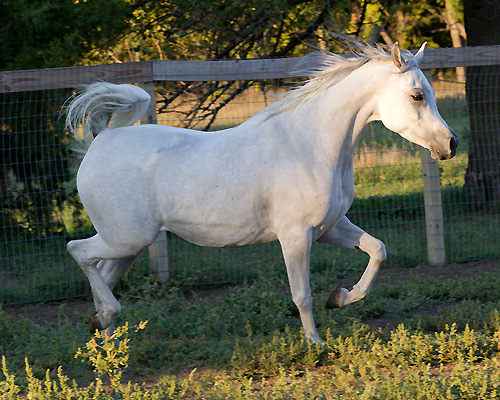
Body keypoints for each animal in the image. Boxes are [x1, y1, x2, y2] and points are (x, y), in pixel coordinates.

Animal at [64, 41, 456, 344]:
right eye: (417, 95)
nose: (450, 144)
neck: (309, 144)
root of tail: (102, 140)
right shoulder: (295, 236)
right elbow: (302, 294)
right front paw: (315, 343)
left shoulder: (330, 228)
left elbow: (377, 251)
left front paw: (339, 298)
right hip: (126, 238)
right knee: (78, 252)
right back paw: (107, 324)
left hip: (128, 245)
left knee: (102, 273)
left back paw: (107, 340)